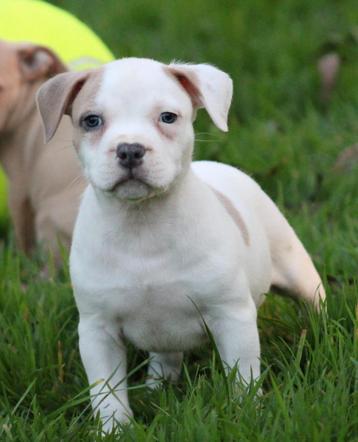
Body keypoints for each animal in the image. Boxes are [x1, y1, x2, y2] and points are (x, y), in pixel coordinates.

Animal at [35, 57, 324, 430]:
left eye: (168, 117)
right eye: (92, 120)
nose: (130, 149)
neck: (142, 223)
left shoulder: (232, 316)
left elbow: (243, 375)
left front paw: (247, 414)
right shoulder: (98, 331)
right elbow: (107, 391)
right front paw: (114, 430)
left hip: (296, 267)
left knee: (313, 299)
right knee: (166, 356)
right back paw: (158, 387)